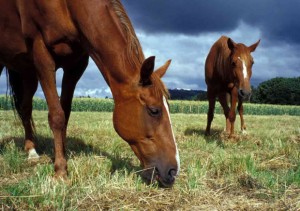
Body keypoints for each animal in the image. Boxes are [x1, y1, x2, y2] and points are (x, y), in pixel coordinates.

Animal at [0, 0, 178, 188]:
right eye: (154, 110)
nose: (173, 171)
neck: (68, 7)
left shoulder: (75, 65)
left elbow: (65, 114)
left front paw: (62, 155)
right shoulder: (42, 54)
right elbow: (57, 116)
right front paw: (60, 172)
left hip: (28, 72)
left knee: (25, 108)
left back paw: (31, 150)